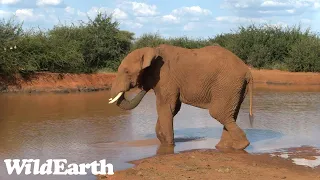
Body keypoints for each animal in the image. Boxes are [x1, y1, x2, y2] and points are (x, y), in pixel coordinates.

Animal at [109, 44, 254, 150]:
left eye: (126, 71)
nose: (142, 87)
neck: (152, 50)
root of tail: (248, 71)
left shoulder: (165, 76)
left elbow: (166, 106)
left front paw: (169, 146)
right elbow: (171, 109)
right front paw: (163, 141)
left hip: (227, 84)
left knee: (218, 113)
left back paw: (241, 146)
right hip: (235, 88)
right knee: (230, 115)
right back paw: (225, 147)